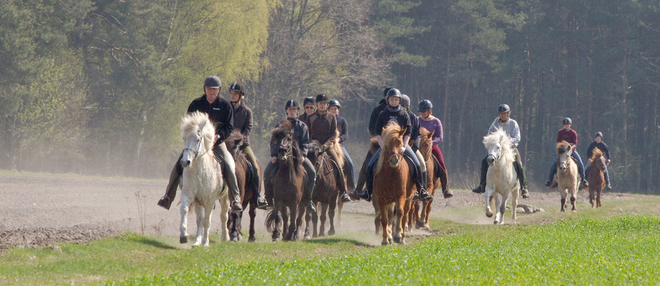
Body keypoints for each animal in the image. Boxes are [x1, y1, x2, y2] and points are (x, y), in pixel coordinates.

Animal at [179, 111, 231, 246]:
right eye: (184, 138)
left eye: (198, 139)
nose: (185, 162)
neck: (200, 171)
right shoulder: (190, 195)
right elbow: (185, 210)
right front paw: (184, 236)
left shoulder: (210, 200)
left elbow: (207, 220)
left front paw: (205, 243)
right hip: (200, 201)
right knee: (200, 219)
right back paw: (197, 241)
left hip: (225, 197)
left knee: (224, 216)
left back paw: (225, 237)